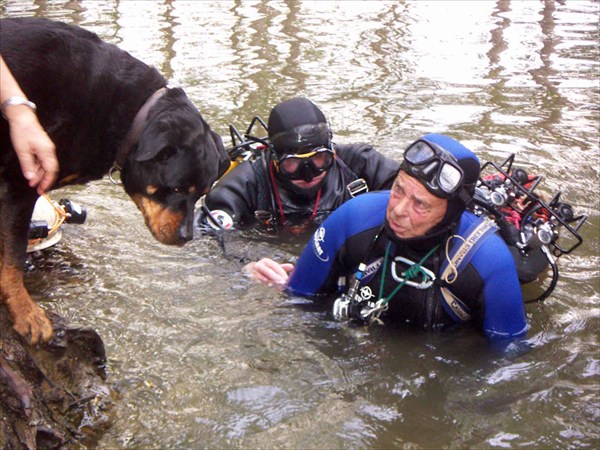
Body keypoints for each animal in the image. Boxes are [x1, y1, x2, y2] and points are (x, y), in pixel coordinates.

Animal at [0, 18, 230, 344]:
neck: (128, 116)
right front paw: (26, 313)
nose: (187, 236)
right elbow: (13, 258)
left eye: (202, 193)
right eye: (175, 189)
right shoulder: (22, 180)